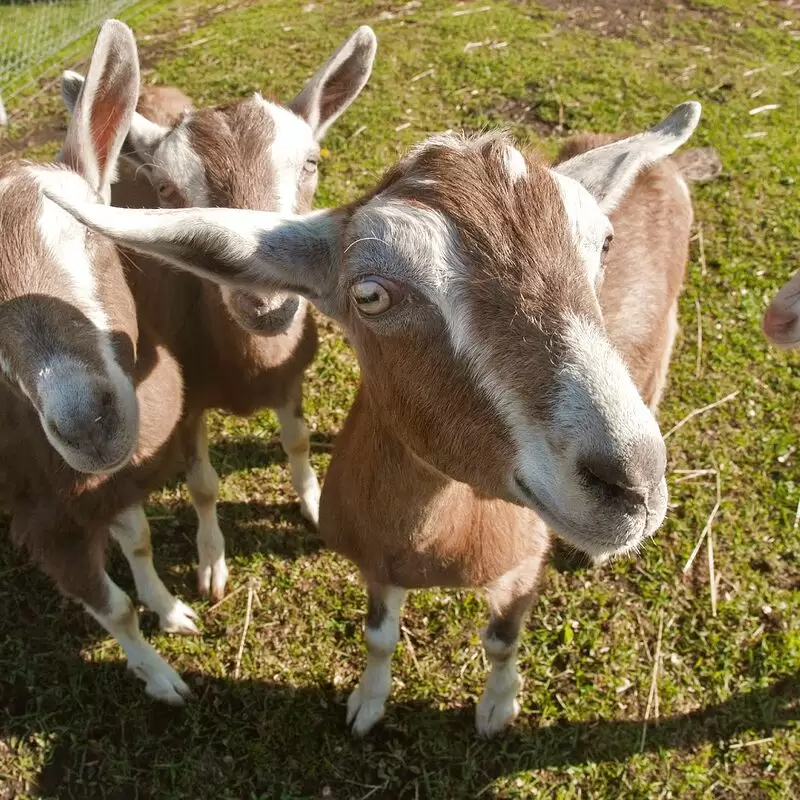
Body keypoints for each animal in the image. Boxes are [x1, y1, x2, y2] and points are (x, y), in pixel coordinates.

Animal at [1, 20, 198, 700]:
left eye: (92, 227)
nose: (89, 423)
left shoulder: (115, 483)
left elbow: (139, 541)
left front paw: (172, 610)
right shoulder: (45, 520)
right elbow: (111, 608)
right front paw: (161, 679)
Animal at [51, 98, 712, 732]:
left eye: (603, 244)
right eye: (369, 294)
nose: (632, 483)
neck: (437, 547)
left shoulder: (523, 568)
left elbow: (501, 642)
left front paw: (496, 710)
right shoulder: (375, 565)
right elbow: (378, 638)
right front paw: (367, 705)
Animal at [59, 23, 378, 600]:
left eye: (311, 163)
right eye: (164, 188)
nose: (265, 298)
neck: (247, 373)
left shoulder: (290, 378)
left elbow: (297, 441)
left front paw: (313, 505)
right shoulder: (185, 400)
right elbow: (203, 485)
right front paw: (211, 565)